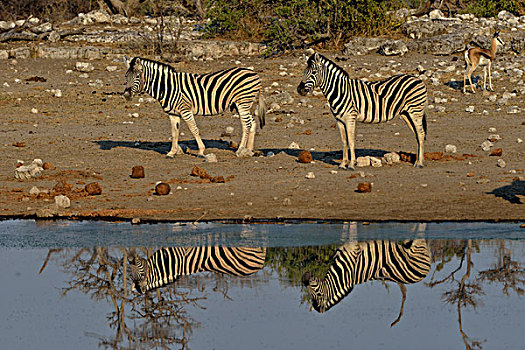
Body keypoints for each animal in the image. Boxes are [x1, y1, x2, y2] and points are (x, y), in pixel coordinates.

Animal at [123, 56, 266, 158]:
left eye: (137, 76)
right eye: (126, 76)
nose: (126, 95)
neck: (167, 86)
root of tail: (254, 73)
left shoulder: (185, 110)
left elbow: (194, 129)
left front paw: (201, 151)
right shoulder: (173, 113)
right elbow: (174, 132)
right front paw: (171, 153)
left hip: (243, 102)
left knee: (246, 124)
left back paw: (240, 150)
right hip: (241, 104)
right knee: (252, 123)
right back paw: (248, 150)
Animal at [296, 52, 428, 170]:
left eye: (313, 72)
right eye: (303, 72)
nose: (299, 90)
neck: (339, 91)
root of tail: (417, 79)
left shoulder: (350, 117)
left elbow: (351, 141)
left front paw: (351, 165)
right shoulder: (339, 120)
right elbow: (344, 141)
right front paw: (342, 164)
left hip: (416, 111)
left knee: (421, 133)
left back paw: (420, 164)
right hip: (406, 113)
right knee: (418, 134)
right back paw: (418, 161)